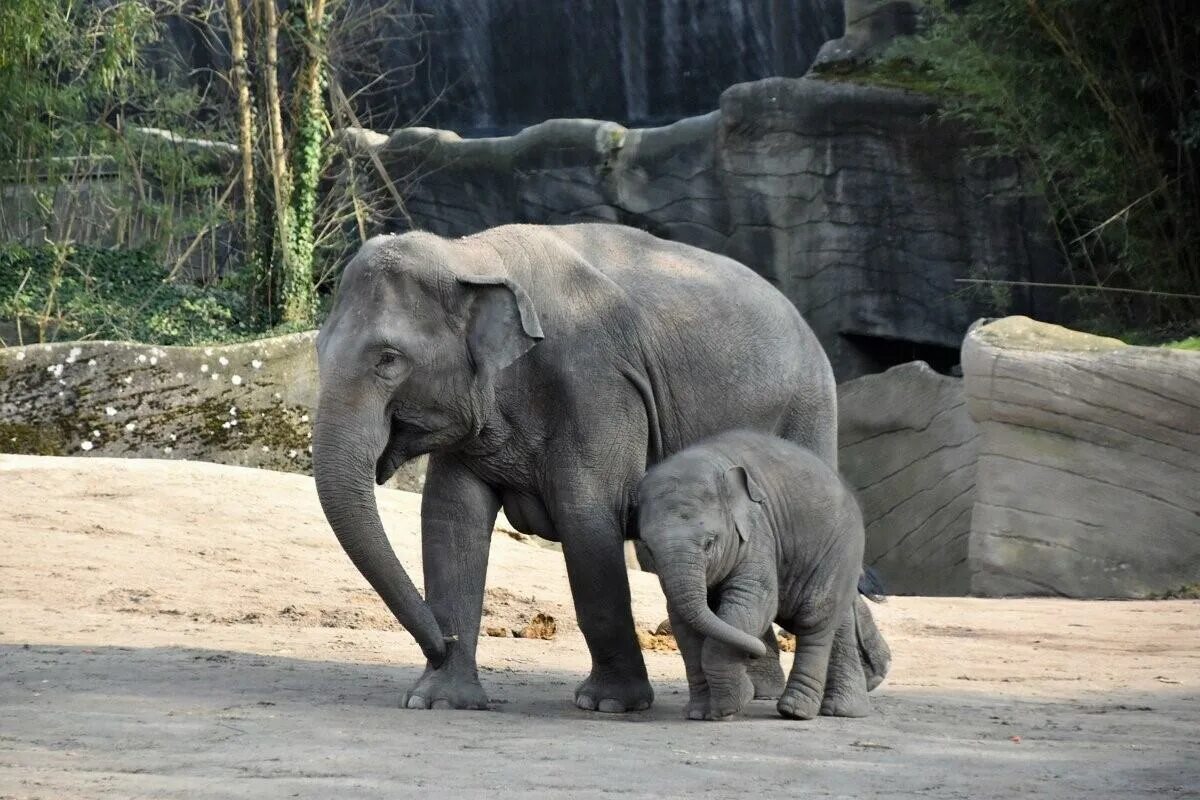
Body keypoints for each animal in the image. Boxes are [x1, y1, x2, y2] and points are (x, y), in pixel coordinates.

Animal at [638, 429, 873, 724]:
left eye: (710, 542)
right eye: (648, 546)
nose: (752, 654)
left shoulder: (758, 532)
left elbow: (751, 603)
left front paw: (730, 706)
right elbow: (683, 623)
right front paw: (700, 712)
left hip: (839, 548)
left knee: (814, 620)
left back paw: (796, 711)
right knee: (835, 621)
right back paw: (843, 710)